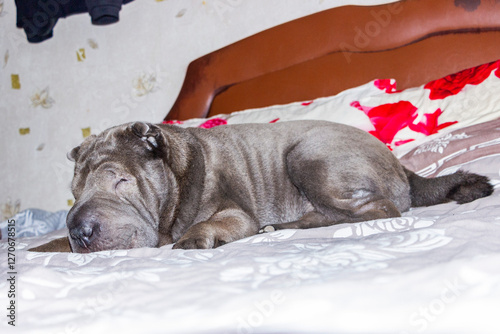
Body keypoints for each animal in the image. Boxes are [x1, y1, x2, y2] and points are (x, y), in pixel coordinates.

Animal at [33, 120, 494, 253]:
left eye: (122, 181)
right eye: (75, 193)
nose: (79, 230)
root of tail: (402, 166)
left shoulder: (234, 213)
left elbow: (203, 225)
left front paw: (191, 239)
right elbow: (49, 246)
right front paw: (43, 247)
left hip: (308, 154)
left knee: (378, 210)